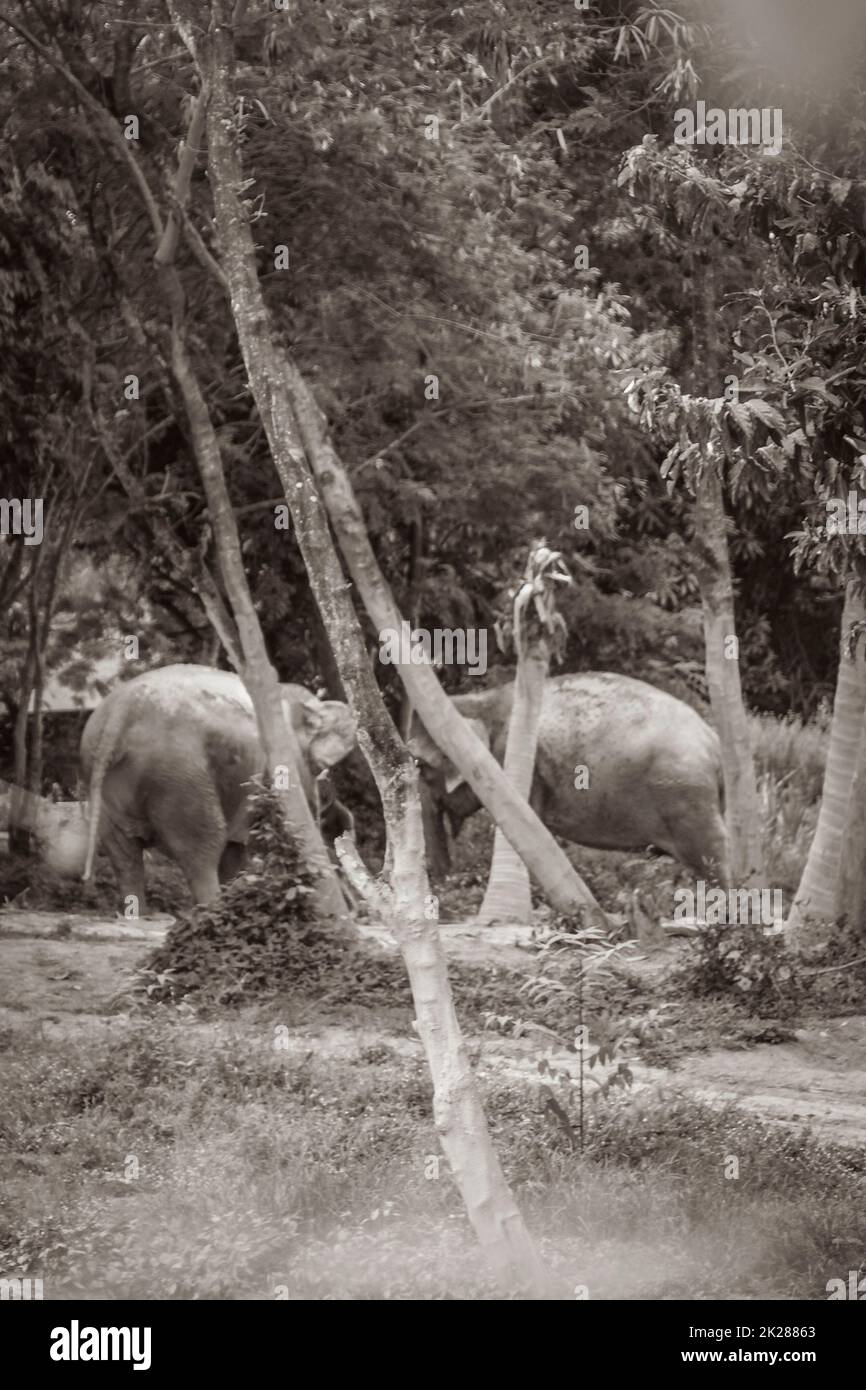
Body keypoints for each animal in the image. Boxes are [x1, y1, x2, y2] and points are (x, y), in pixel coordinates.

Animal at [77, 664, 355, 911]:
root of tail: (119, 713)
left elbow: (236, 849)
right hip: (180, 774)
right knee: (202, 846)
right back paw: (213, 910)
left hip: (104, 776)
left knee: (123, 854)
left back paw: (138, 915)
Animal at [408, 675, 733, 889]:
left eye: (421, 766)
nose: (445, 881)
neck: (481, 700)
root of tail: (714, 742)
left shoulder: (520, 767)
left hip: (687, 796)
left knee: (714, 856)